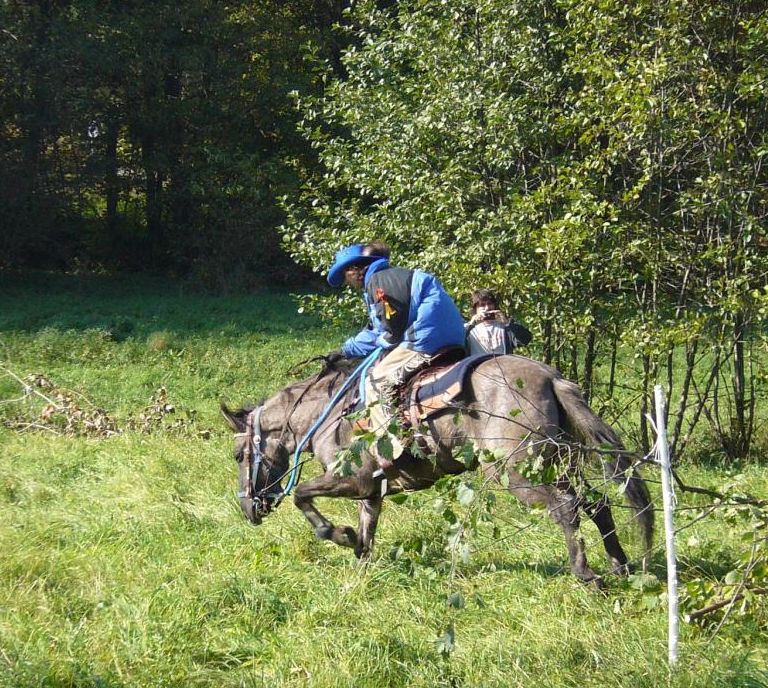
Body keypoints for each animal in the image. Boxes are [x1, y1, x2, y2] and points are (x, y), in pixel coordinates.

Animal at [220, 354, 656, 584]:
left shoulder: (352, 479)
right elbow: (367, 531)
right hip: (552, 465)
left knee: (567, 508)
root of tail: (551, 378)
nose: (248, 509)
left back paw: (586, 575)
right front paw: (359, 563)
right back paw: (620, 565)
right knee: (596, 505)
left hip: (516, 473)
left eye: (240, 455)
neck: (326, 414)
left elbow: (302, 495)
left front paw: (337, 533)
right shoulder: (371, 490)